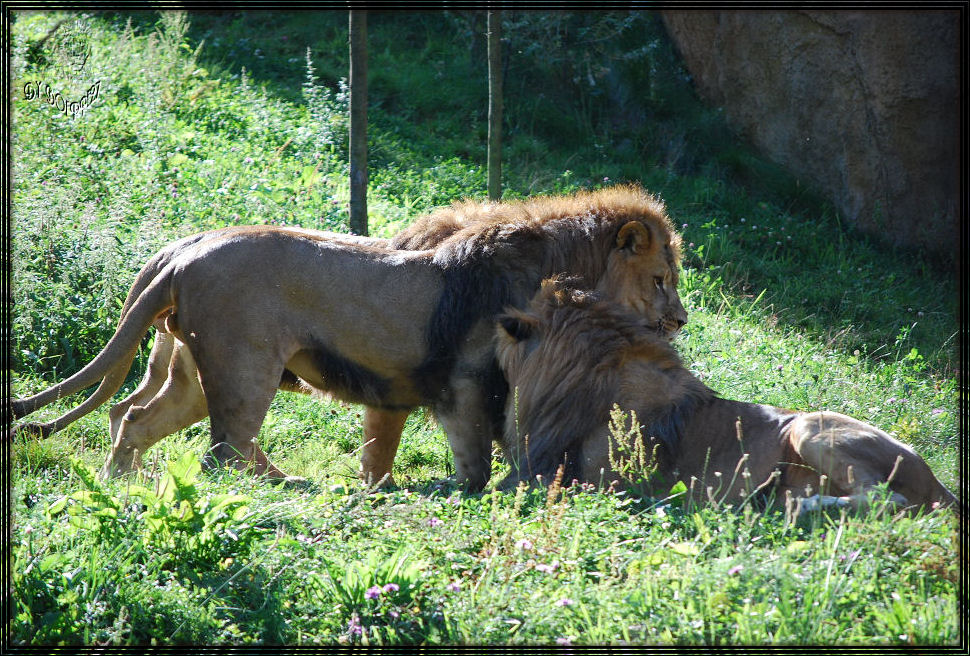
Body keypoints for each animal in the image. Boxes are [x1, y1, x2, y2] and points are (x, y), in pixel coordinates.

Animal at [11, 184, 684, 492]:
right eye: (661, 280)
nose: (679, 322)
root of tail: (183, 250)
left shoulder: (393, 393)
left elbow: (378, 453)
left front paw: (376, 492)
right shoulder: (468, 387)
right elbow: (475, 464)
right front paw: (460, 498)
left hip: (195, 374)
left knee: (138, 418)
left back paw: (120, 481)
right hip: (244, 366)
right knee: (223, 450)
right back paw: (277, 487)